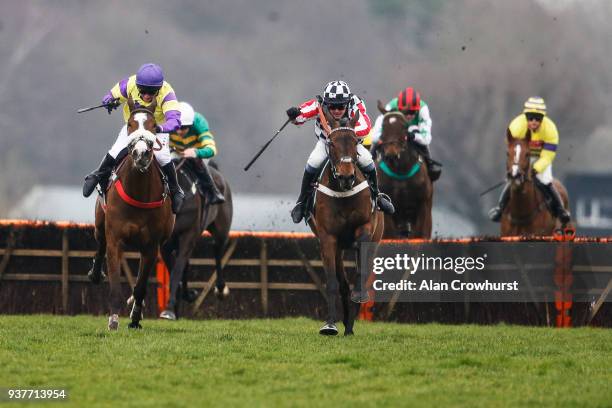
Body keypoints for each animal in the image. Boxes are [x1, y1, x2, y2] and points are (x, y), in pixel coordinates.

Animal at [88, 97, 175, 330]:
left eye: (154, 126)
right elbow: (115, 285)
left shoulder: (151, 246)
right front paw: (113, 320)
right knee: (99, 244)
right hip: (100, 225)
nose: (141, 154)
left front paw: (135, 318)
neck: (139, 192)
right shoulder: (115, 240)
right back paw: (95, 273)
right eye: (130, 124)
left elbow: (141, 285)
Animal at [159, 158, 233, 320]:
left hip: (221, 230)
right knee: (187, 264)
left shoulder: (188, 235)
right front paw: (176, 303)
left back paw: (221, 289)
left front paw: (169, 309)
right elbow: (176, 270)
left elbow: (177, 271)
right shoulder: (165, 244)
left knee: (217, 251)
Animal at [308, 107, 384, 336]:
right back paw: (345, 324)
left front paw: (358, 296)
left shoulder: (365, 229)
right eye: (332, 143)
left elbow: (361, 271)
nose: (346, 177)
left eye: (355, 141)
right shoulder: (327, 238)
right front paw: (330, 325)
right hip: (336, 247)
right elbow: (332, 282)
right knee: (341, 282)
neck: (343, 193)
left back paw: (350, 324)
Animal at [376, 100, 432, 237]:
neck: (400, 171)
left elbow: (421, 234)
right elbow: (389, 233)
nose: (391, 154)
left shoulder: (423, 205)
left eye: (404, 126)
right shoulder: (388, 207)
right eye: (383, 126)